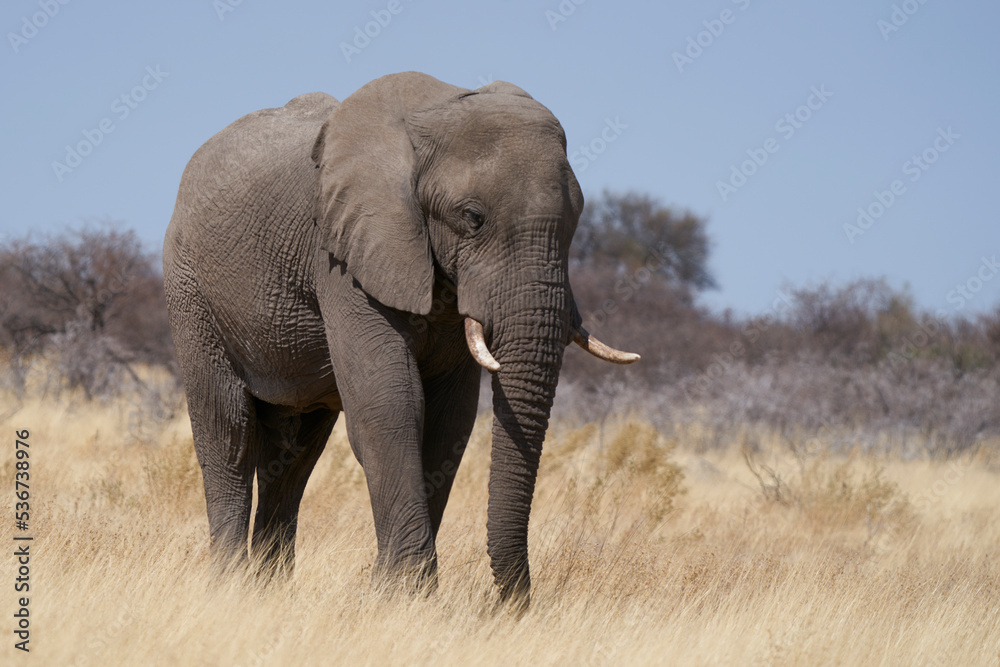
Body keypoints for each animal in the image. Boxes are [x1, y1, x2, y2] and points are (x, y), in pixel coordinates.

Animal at [161, 72, 636, 604]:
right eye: (473, 217)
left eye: (577, 219)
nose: (504, 606)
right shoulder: (344, 254)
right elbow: (390, 404)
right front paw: (405, 592)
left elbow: (450, 421)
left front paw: (390, 589)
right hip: (191, 293)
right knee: (230, 434)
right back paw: (230, 585)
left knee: (294, 453)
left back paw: (270, 587)